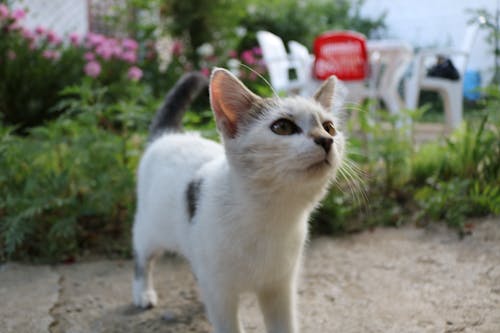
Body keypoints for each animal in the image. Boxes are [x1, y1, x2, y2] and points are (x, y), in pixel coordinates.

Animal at [131, 68, 346, 332]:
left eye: (329, 127)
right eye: (283, 126)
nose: (326, 140)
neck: (269, 218)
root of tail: (169, 135)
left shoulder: (280, 287)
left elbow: (284, 324)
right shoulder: (221, 292)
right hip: (148, 229)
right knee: (143, 258)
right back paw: (143, 293)